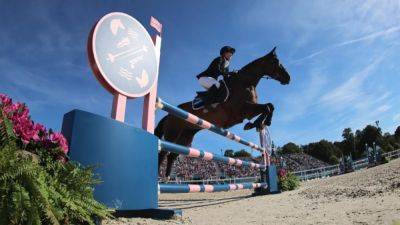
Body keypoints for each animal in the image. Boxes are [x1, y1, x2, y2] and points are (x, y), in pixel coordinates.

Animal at [156, 47, 290, 178]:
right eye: (275, 62)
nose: (288, 78)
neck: (245, 83)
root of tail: (168, 115)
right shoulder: (243, 110)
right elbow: (266, 107)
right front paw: (254, 124)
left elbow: (270, 106)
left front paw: (259, 124)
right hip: (173, 133)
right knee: (163, 152)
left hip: (186, 136)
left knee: (172, 154)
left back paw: (167, 177)